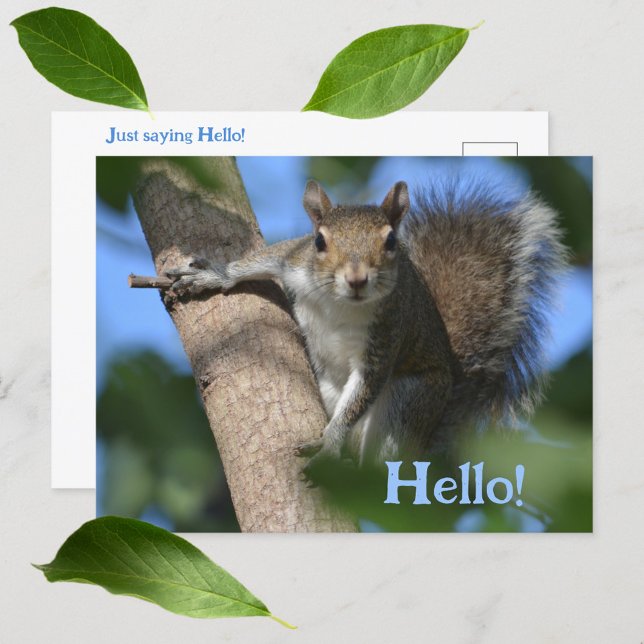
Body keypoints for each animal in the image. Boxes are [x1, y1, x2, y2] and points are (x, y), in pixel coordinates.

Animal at [168, 177, 565, 469]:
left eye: (390, 241)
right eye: (318, 241)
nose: (357, 279)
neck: (341, 303)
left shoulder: (387, 334)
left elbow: (366, 386)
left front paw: (330, 443)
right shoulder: (294, 260)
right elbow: (261, 259)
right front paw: (214, 276)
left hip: (411, 402)